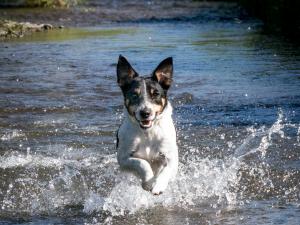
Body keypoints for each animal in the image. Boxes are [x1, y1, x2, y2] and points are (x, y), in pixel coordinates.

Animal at [115, 55, 178, 195]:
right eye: (134, 94)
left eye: (156, 94)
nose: (145, 113)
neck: (148, 132)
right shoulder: (123, 158)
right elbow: (142, 163)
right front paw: (148, 182)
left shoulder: (172, 157)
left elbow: (166, 169)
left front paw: (158, 185)